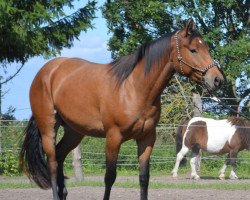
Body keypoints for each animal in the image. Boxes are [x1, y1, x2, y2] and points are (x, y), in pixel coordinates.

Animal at [18, 19, 224, 200]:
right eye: (193, 50)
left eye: (206, 48)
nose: (217, 80)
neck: (133, 89)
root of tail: (47, 71)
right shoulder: (113, 137)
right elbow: (109, 178)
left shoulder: (146, 139)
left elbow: (144, 178)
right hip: (48, 128)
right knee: (52, 163)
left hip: (74, 131)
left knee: (60, 155)